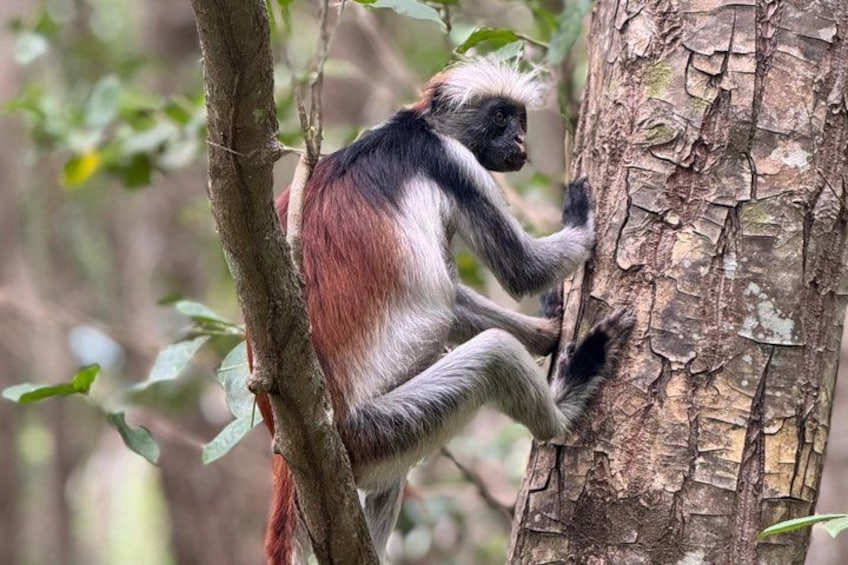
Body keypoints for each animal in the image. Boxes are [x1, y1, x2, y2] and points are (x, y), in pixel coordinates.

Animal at [255, 57, 635, 564]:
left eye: (520, 120)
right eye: (501, 117)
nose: (520, 142)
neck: (416, 125)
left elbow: (450, 301)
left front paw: (547, 330)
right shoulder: (453, 164)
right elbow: (521, 272)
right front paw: (580, 220)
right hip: (374, 432)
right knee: (493, 355)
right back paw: (566, 405)